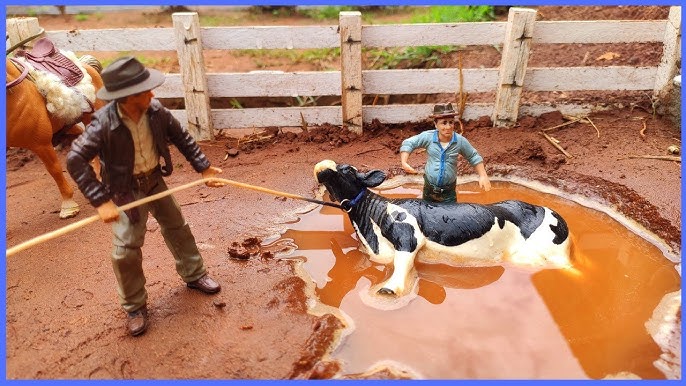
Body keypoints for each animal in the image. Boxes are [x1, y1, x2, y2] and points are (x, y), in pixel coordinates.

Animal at [314, 160, 572, 296]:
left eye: (347, 169)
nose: (321, 165)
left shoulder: (408, 237)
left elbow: (402, 265)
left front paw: (389, 289)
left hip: (552, 253)